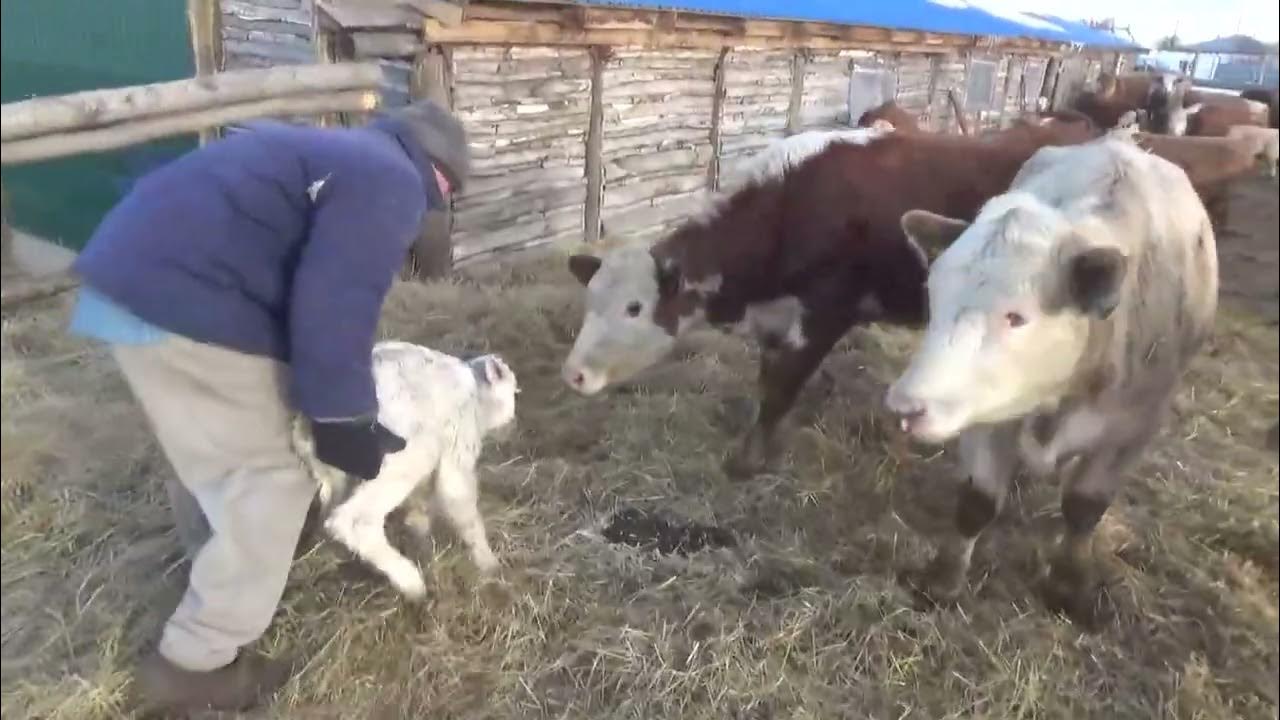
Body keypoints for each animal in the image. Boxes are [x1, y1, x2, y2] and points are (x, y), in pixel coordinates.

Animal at [294, 340, 519, 594]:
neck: (476, 396)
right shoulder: (459, 444)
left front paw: (420, 531)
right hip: (404, 457)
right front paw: (489, 563)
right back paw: (411, 583)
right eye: (513, 390)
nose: (513, 424)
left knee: (329, 507)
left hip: (331, 468)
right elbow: (461, 504)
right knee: (354, 520)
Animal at [565, 122, 1095, 476]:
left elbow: (781, 389)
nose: (574, 374)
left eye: (634, 308)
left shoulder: (825, 315)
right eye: (590, 300)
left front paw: (745, 465)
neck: (793, 204)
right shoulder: (777, 320)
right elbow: (769, 384)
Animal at [885, 135, 1213, 622]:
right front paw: (943, 580)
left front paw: (1070, 585)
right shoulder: (990, 416)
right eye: (933, 293)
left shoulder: (1131, 431)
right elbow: (977, 502)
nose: (906, 406)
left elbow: (1083, 508)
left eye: (1017, 316)